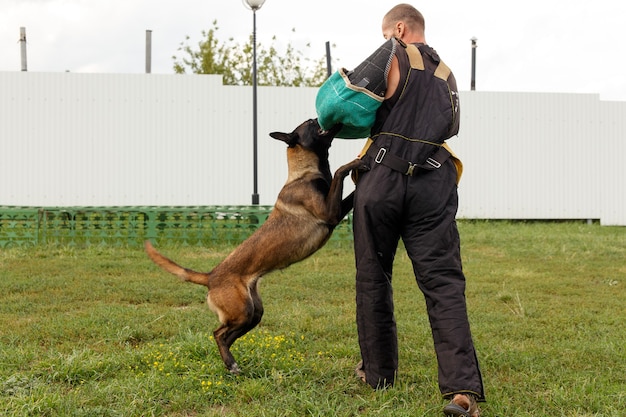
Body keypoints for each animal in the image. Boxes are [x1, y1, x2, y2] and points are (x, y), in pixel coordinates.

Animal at [143, 118, 366, 374]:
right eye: (311, 123)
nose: (322, 118)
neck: (303, 173)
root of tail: (210, 277)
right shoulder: (331, 213)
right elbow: (341, 174)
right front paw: (355, 163)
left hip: (253, 313)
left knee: (226, 335)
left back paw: (231, 364)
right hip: (242, 311)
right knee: (218, 333)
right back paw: (231, 363)